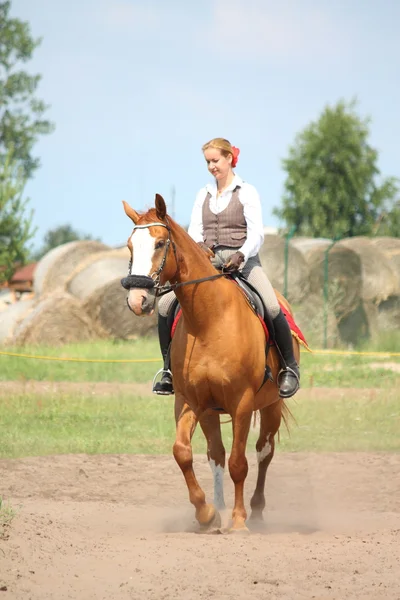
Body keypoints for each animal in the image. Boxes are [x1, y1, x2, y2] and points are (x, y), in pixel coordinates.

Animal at [123, 195, 298, 532]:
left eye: (160, 243)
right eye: (129, 246)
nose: (137, 300)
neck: (209, 319)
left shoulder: (242, 403)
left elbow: (239, 463)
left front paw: (239, 521)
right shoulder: (190, 401)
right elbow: (183, 452)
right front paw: (206, 513)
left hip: (270, 406)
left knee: (263, 452)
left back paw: (256, 512)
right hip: (210, 412)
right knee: (215, 454)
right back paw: (219, 508)